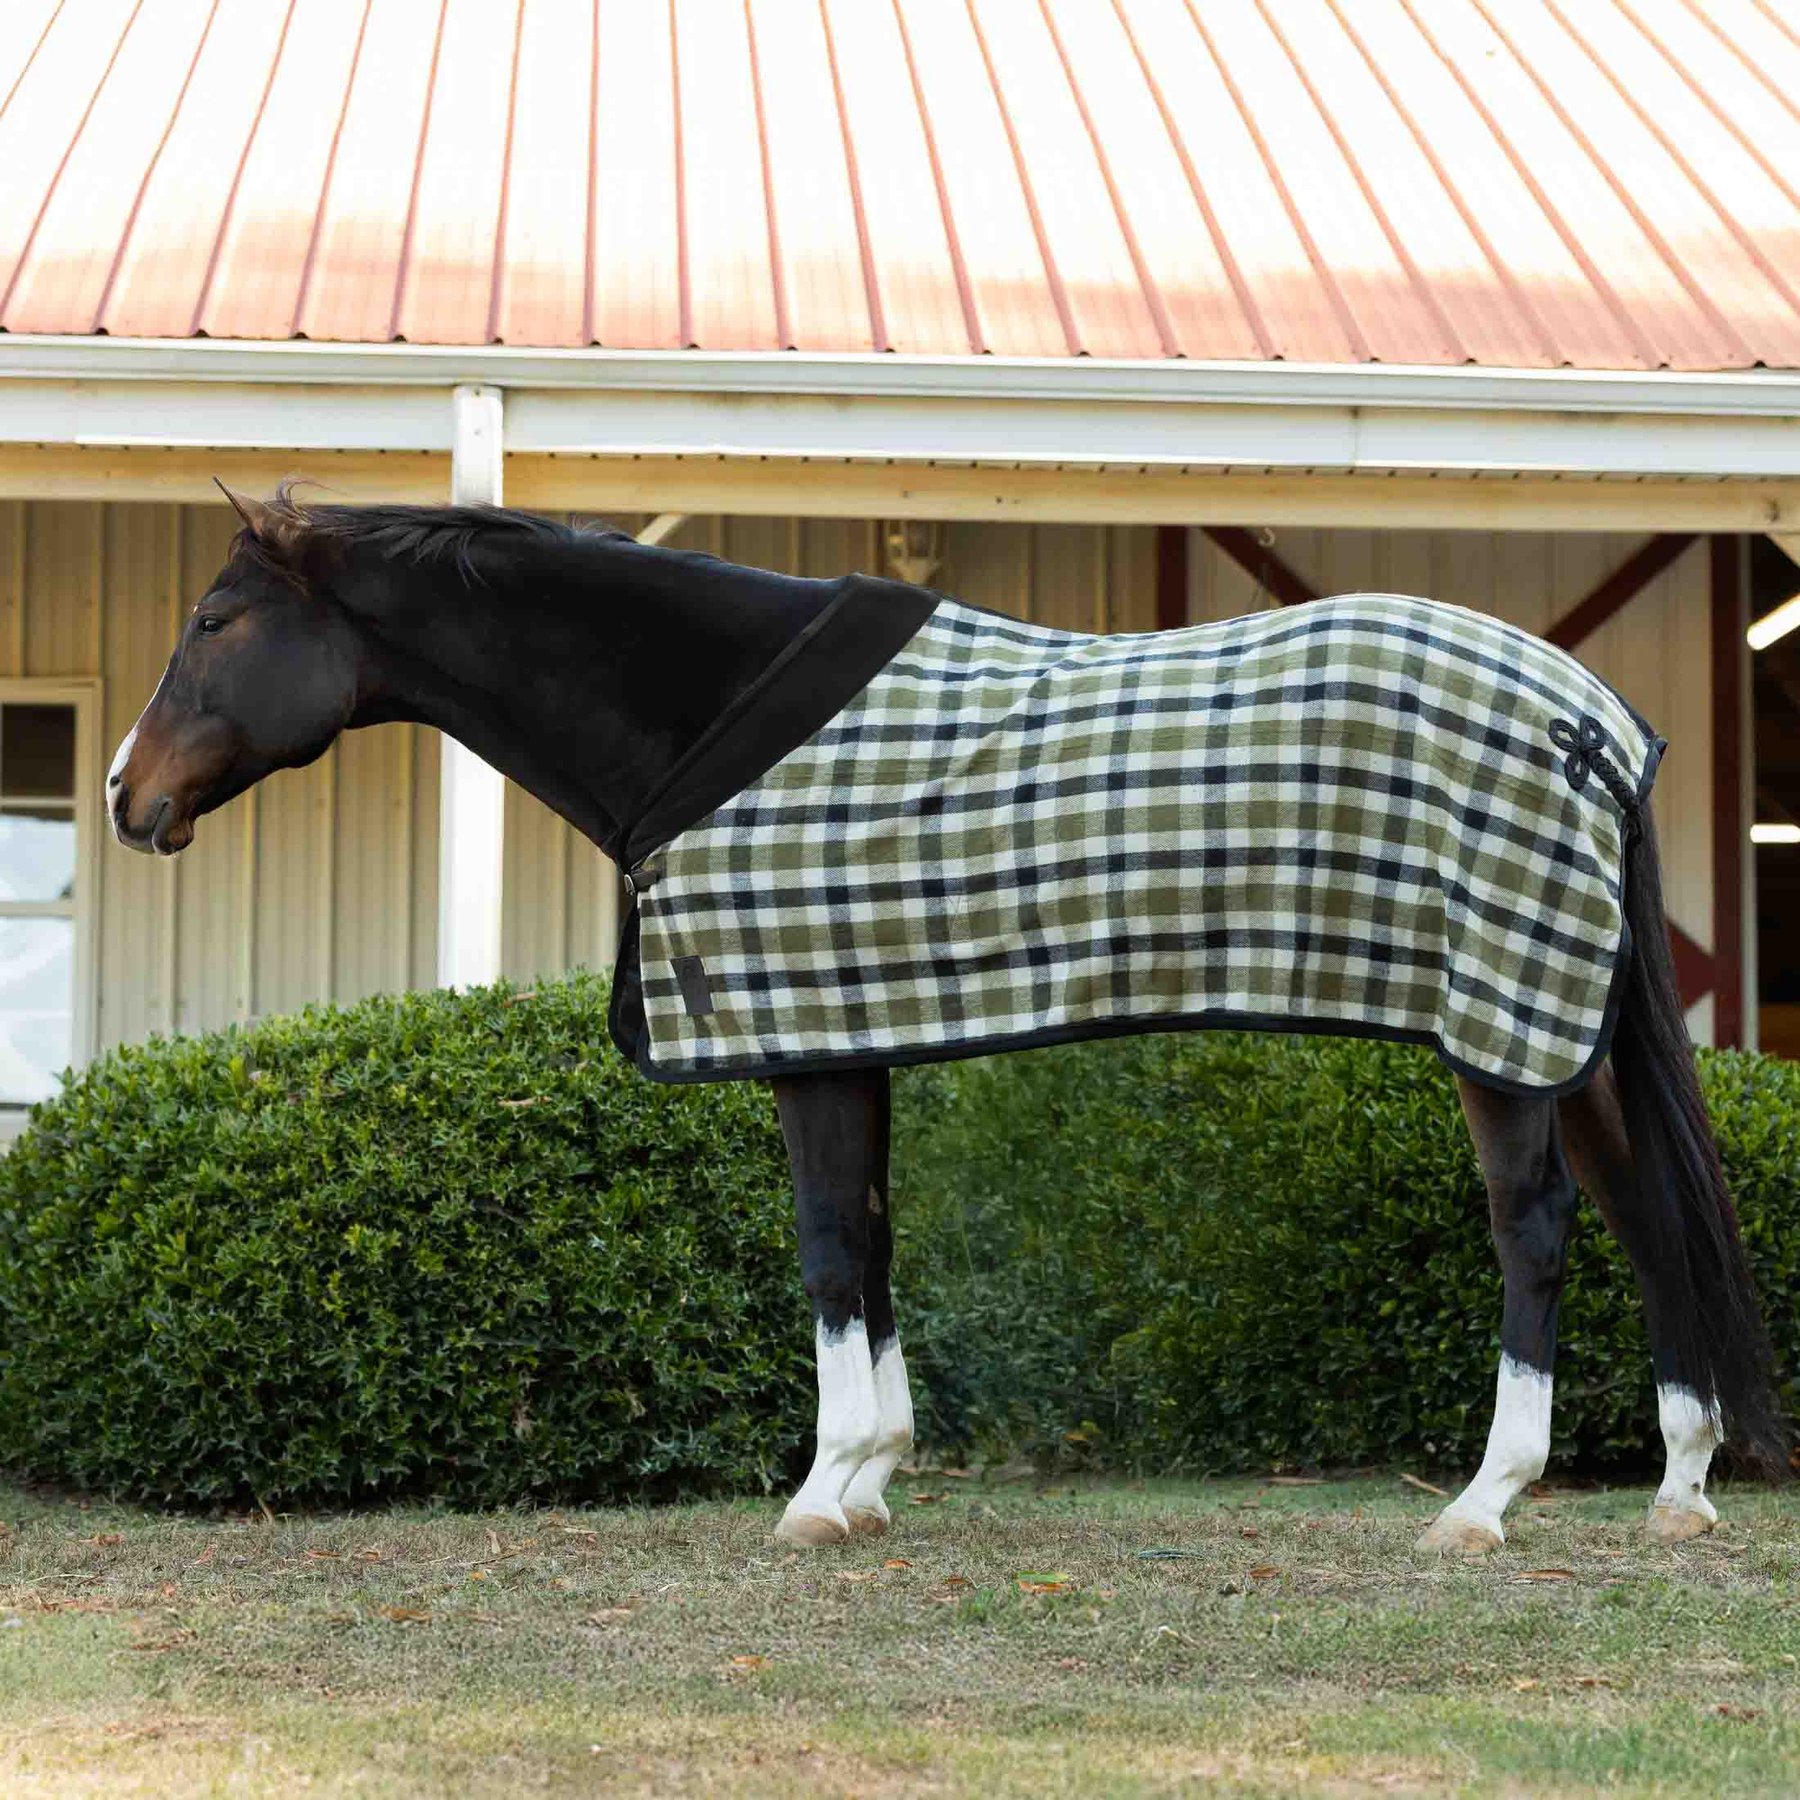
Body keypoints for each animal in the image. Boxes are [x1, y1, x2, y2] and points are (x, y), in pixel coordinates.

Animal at [107, 485, 1784, 1553]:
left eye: (213, 620)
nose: (127, 798)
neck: (706, 716)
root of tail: (1590, 720)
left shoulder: (800, 1040)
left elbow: (825, 1248)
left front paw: (822, 1489)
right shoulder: (854, 1032)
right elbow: (874, 1237)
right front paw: (874, 1479)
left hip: (1499, 1027)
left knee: (1539, 1230)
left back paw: (1484, 1504)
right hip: (1562, 1028)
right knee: (1648, 1210)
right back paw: (1681, 1487)